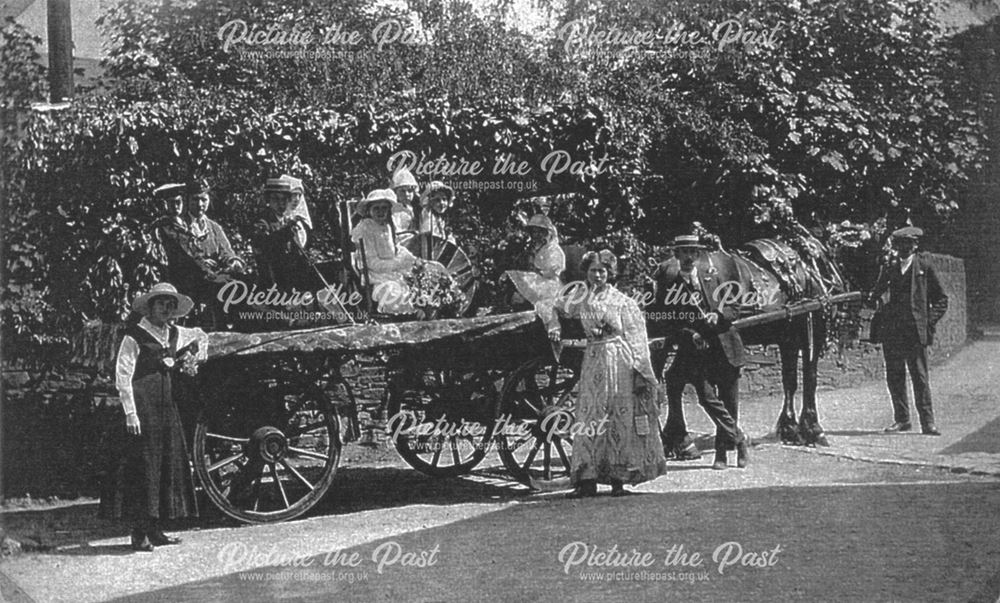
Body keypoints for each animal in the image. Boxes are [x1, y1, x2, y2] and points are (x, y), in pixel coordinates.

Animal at [652, 231, 848, 448]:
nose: (840, 283)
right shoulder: (812, 327)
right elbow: (809, 377)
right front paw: (812, 428)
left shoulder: (789, 337)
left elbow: (789, 379)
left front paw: (790, 427)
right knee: (674, 378)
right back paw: (681, 440)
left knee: (667, 378)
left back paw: (673, 438)